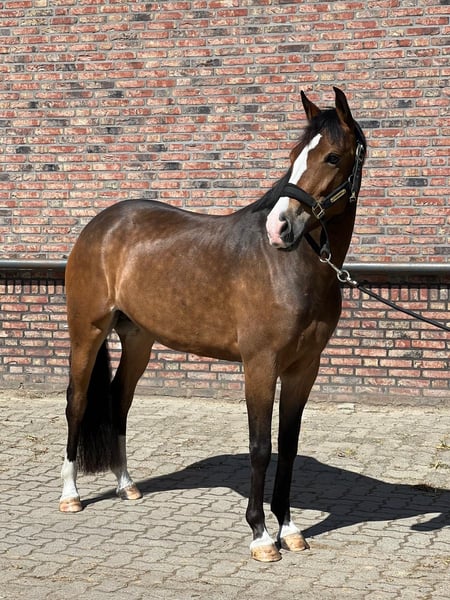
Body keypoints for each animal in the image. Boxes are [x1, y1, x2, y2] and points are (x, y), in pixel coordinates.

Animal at [60, 87, 366, 562]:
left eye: (333, 157)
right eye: (294, 154)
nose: (279, 228)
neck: (292, 268)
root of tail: (101, 225)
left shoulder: (304, 368)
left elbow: (289, 445)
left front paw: (290, 528)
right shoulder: (260, 365)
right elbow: (261, 447)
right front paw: (261, 535)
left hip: (139, 339)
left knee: (118, 401)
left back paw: (126, 485)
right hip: (87, 331)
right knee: (76, 401)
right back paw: (71, 495)